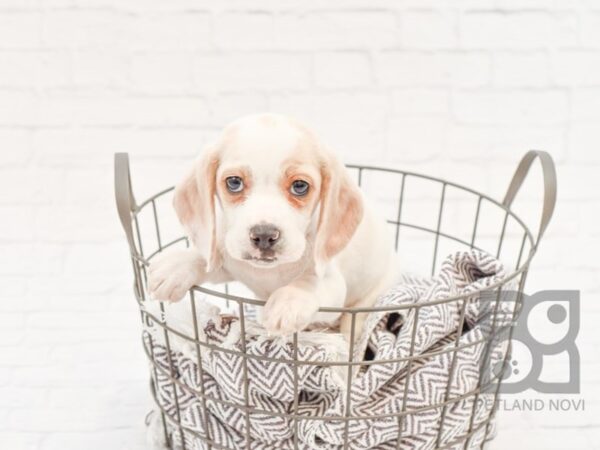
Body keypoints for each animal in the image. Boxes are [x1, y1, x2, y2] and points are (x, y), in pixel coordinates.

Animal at [148, 113, 396, 342]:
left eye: (299, 186)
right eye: (234, 182)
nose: (264, 236)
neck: (271, 273)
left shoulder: (332, 285)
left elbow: (309, 282)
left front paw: (288, 302)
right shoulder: (230, 260)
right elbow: (207, 257)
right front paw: (175, 267)